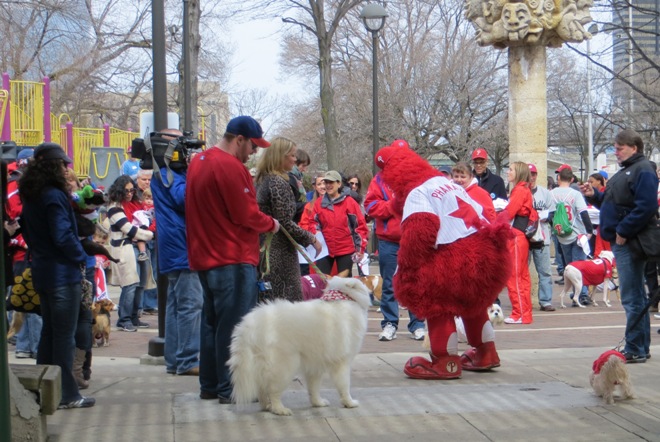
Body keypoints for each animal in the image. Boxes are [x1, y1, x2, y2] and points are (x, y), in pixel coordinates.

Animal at [227, 274, 372, 416]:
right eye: (361, 279)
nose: (366, 277)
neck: (345, 298)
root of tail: (250, 325)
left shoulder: (315, 365)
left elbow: (314, 388)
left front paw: (318, 403)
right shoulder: (342, 362)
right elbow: (344, 385)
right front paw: (349, 403)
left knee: (262, 388)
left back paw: (267, 406)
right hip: (285, 365)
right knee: (273, 390)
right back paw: (279, 409)